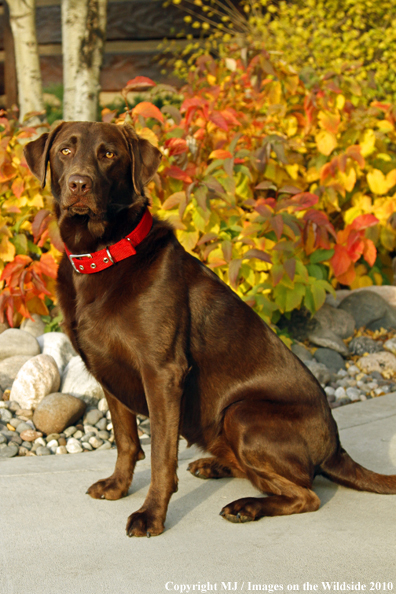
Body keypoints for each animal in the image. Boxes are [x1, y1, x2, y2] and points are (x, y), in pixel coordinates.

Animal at [24, 121, 396, 536]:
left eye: (109, 154)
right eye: (65, 151)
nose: (79, 184)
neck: (104, 254)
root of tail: (335, 447)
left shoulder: (163, 372)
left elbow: (161, 455)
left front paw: (151, 515)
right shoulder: (107, 370)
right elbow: (126, 441)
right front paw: (118, 487)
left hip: (242, 415)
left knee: (306, 492)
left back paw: (246, 506)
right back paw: (215, 465)